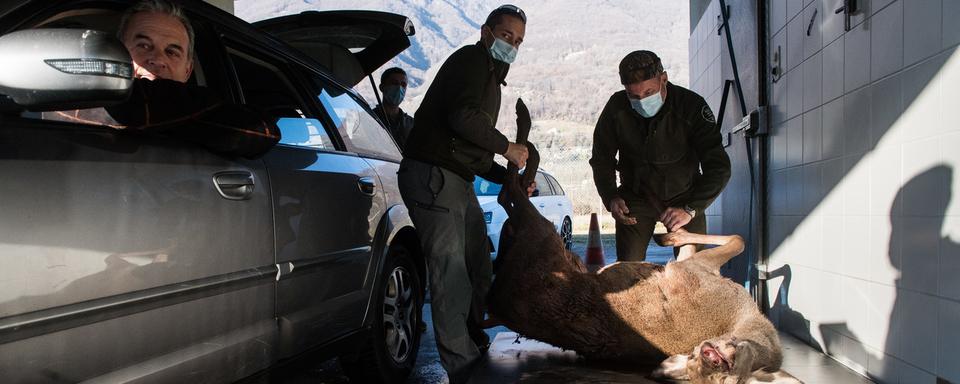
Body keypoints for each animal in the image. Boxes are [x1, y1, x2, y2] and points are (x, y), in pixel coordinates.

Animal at [488, 100, 804, 384]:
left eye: (727, 374)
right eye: (694, 359)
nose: (710, 355)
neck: (748, 321)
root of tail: (497, 302)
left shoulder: (694, 270)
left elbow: (737, 239)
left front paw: (670, 232)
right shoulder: (695, 267)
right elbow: (736, 239)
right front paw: (669, 229)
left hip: (539, 238)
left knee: (509, 193)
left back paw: (525, 138)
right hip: (542, 236)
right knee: (510, 190)